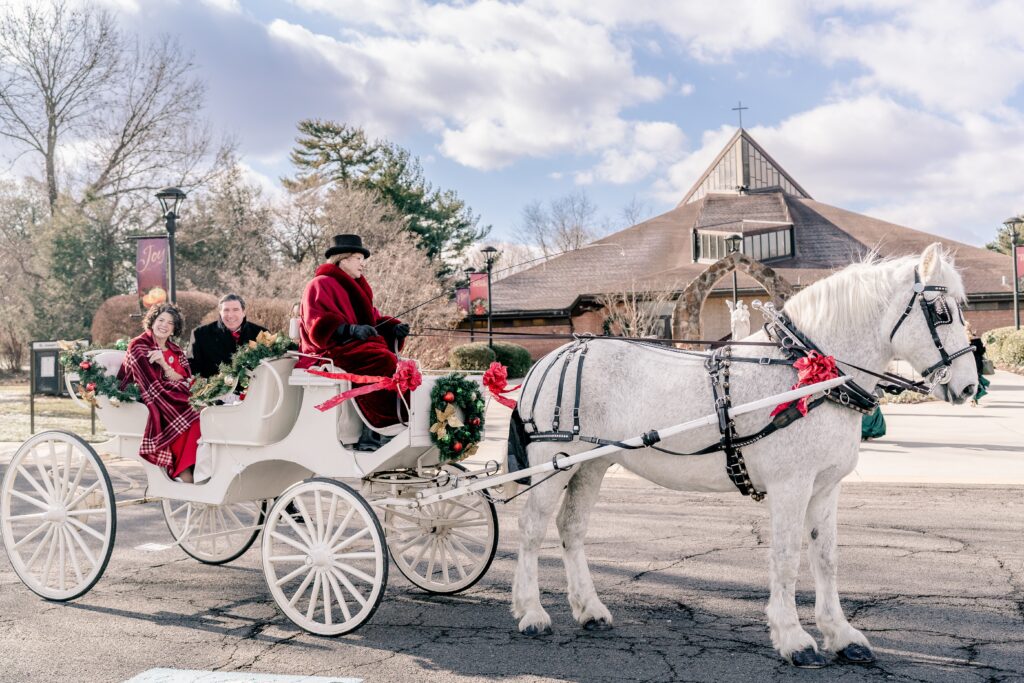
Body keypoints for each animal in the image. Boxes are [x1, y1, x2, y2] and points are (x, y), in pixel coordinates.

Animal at [512, 245, 974, 667]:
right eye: (942, 312)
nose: (971, 386)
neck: (809, 374)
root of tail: (553, 358)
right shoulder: (791, 486)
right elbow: (786, 558)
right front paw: (793, 638)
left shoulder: (826, 487)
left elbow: (825, 557)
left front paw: (841, 635)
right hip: (554, 460)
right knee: (532, 529)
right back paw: (531, 611)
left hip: (590, 464)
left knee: (572, 528)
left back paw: (589, 610)